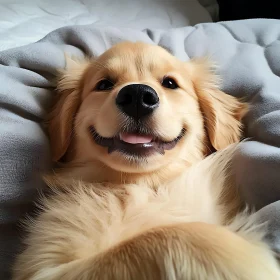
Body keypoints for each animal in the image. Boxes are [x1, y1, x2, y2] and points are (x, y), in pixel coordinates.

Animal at [12, 42, 280, 280]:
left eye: (170, 83)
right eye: (104, 84)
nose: (138, 95)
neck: (144, 184)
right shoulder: (44, 268)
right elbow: (164, 236)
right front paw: (250, 259)